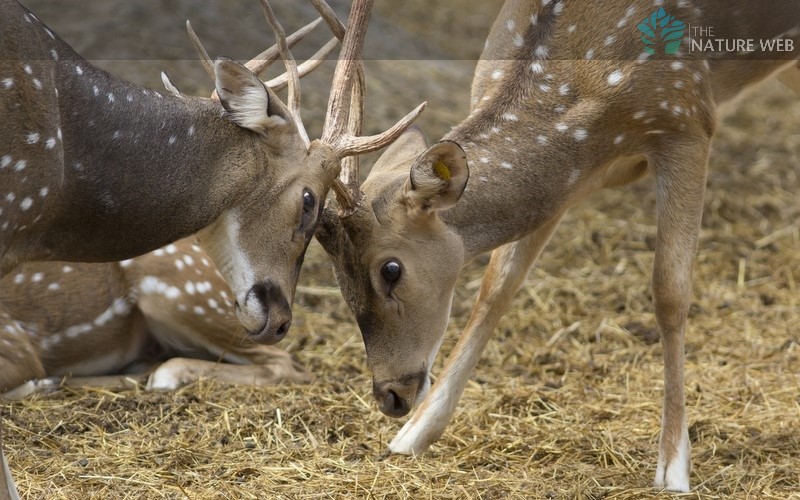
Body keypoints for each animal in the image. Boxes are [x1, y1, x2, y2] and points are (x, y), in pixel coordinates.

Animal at [318, 0, 800, 492]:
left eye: (391, 269)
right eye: (336, 275)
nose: (390, 396)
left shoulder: (686, 114)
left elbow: (670, 291)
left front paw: (673, 467)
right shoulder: (563, 184)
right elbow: (497, 286)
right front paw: (413, 435)